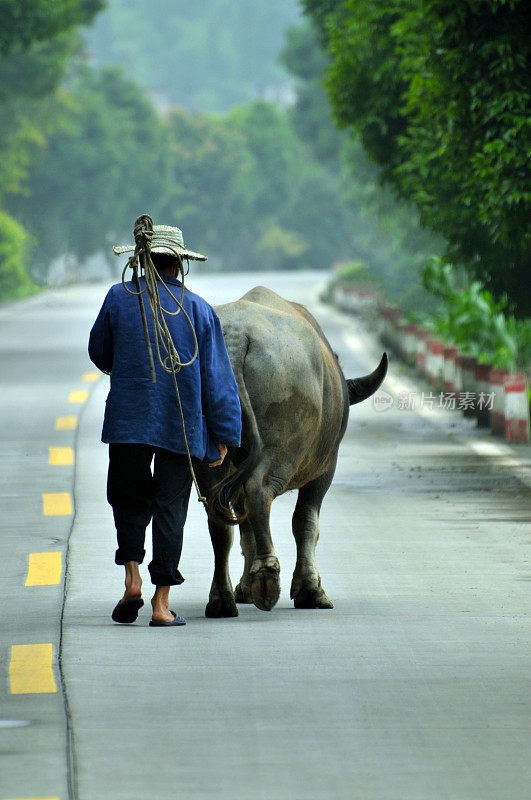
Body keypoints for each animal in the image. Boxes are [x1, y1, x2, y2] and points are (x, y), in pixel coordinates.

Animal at [195, 284, 386, 616]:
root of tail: (235, 336)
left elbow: (245, 526)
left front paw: (243, 588)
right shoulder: (325, 468)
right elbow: (306, 522)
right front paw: (310, 590)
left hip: (207, 451)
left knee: (219, 517)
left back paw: (222, 599)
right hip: (280, 447)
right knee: (259, 490)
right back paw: (266, 578)